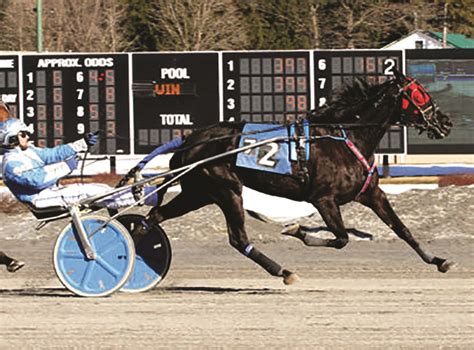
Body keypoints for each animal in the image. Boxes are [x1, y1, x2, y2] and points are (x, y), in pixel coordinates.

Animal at [139, 70, 454, 284]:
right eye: (420, 94)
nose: (445, 122)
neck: (345, 136)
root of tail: (188, 140)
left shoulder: (370, 193)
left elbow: (402, 229)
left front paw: (438, 260)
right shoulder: (323, 199)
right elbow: (341, 239)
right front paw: (296, 230)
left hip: (198, 193)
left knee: (154, 217)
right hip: (226, 190)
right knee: (238, 239)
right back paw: (283, 271)